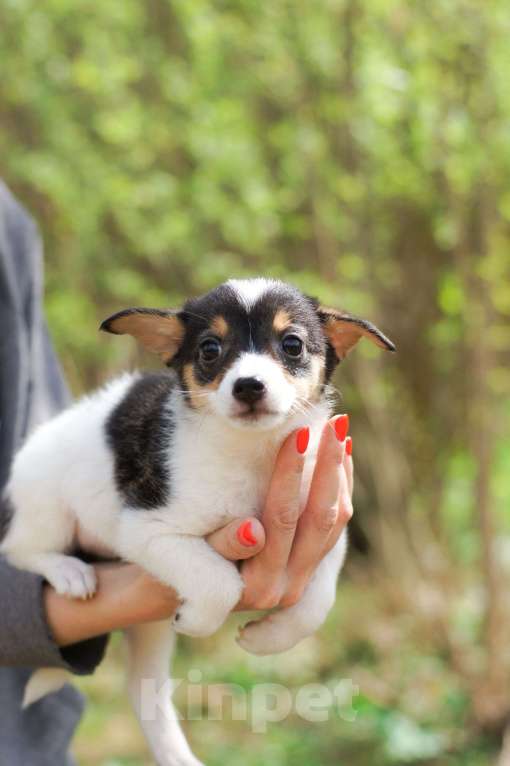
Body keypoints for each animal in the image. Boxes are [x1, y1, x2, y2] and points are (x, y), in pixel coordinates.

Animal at [0, 280, 394, 766]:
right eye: (210, 349)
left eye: (292, 344)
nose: (249, 386)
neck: (252, 453)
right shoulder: (147, 528)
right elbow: (220, 581)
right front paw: (200, 620)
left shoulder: (324, 530)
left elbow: (320, 598)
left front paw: (271, 638)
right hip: (46, 508)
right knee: (19, 548)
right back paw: (68, 570)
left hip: (147, 628)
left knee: (144, 692)